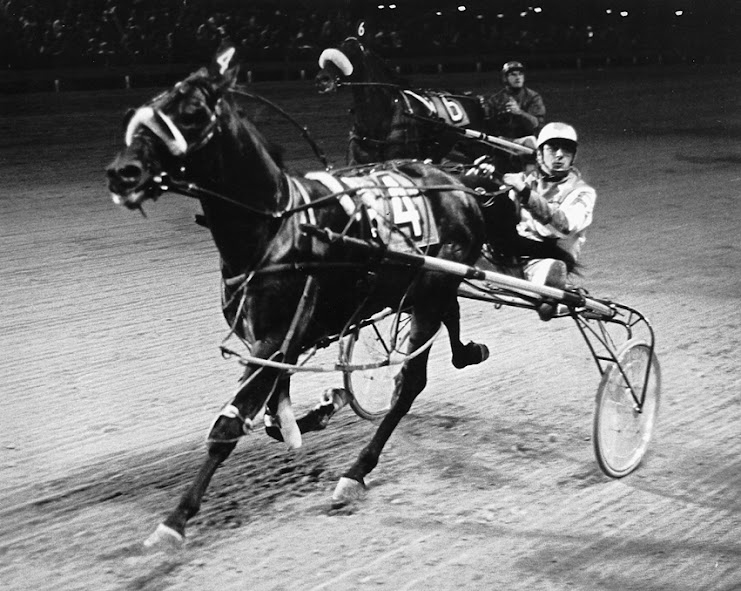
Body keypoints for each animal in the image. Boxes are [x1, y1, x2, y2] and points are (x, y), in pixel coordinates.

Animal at [102, 45, 492, 544]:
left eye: (190, 113)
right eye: (138, 114)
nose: (123, 173)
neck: (276, 227)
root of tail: (460, 186)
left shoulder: (276, 338)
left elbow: (228, 425)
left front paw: (175, 520)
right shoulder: (270, 343)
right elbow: (270, 413)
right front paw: (322, 408)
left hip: (429, 294)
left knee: (410, 384)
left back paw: (355, 473)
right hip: (424, 287)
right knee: (450, 320)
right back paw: (466, 352)